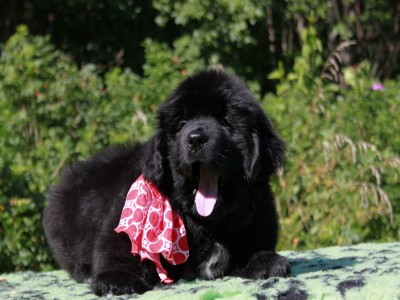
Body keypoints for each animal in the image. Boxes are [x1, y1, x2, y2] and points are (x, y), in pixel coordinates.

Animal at [43, 68, 290, 296]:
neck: (207, 223)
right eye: (182, 123)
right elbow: (118, 249)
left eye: (225, 121)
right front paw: (118, 278)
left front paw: (266, 261)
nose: (195, 139)